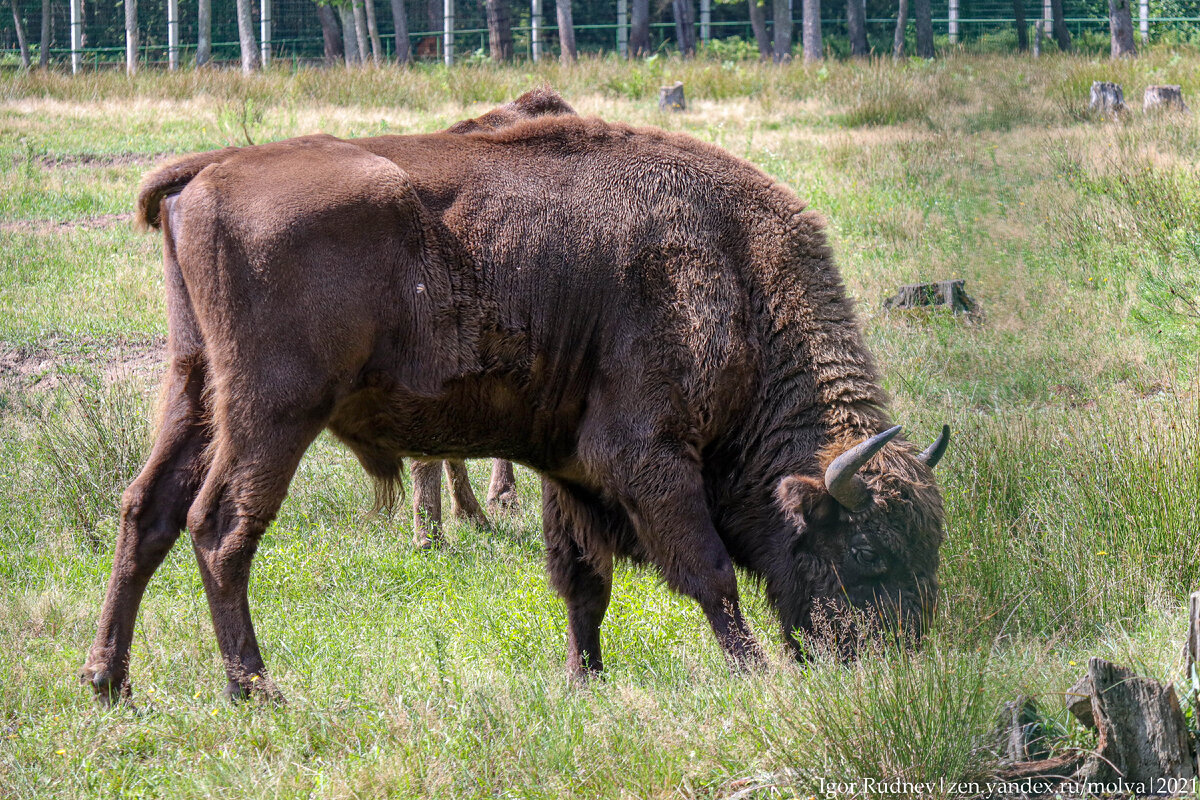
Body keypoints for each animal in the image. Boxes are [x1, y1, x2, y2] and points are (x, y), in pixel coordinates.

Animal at [82, 86, 945, 700]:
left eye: (928, 551)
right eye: (866, 553)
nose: (897, 659)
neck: (735, 274)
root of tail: (207, 170)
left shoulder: (571, 468)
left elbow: (581, 582)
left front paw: (584, 679)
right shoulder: (650, 457)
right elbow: (707, 571)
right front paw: (754, 672)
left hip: (195, 387)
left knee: (147, 510)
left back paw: (108, 681)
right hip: (274, 409)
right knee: (221, 528)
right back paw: (257, 688)